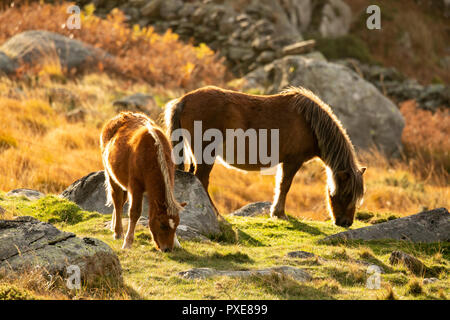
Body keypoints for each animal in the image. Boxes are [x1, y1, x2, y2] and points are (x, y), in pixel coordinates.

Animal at [100, 112, 185, 250]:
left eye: (176, 226)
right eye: (162, 225)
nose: (167, 249)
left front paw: (177, 242)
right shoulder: (136, 187)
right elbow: (134, 212)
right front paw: (128, 242)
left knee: (121, 202)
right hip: (111, 176)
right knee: (117, 201)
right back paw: (118, 232)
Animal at [165, 85, 366, 228]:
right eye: (347, 193)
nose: (346, 223)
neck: (309, 123)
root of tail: (184, 100)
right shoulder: (292, 161)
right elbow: (284, 185)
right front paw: (279, 213)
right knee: (202, 179)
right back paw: (216, 213)